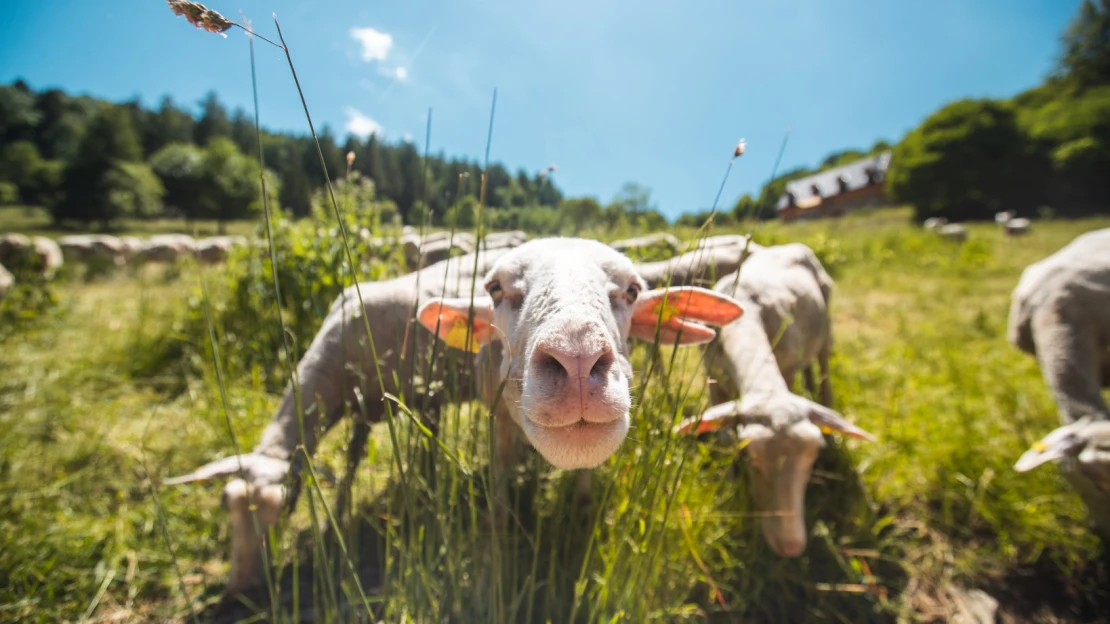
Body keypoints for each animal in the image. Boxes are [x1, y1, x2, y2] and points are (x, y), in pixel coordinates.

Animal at [166, 235, 745, 590]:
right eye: (494, 288)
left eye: (631, 290)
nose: (578, 360)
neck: (334, 357)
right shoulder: (373, 407)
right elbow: (352, 463)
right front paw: (343, 510)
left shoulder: (418, 400)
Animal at [670, 242, 870, 552]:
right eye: (750, 456)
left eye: (815, 454)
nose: (790, 546)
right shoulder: (712, 377)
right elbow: (724, 438)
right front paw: (730, 482)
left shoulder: (786, 372)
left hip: (826, 330)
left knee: (824, 371)